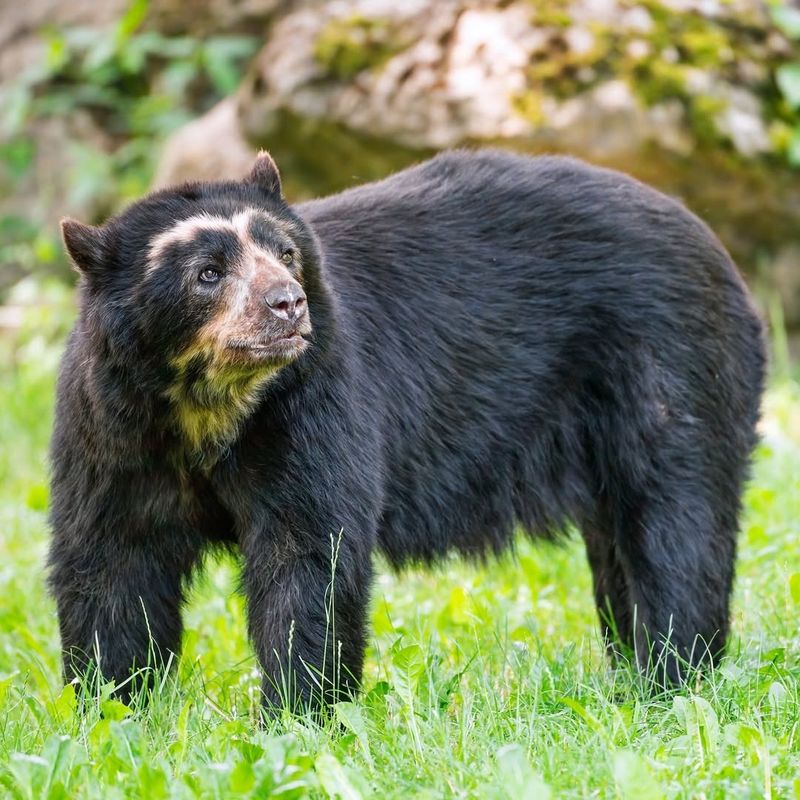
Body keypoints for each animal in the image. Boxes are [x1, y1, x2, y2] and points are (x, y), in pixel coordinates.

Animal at [50, 150, 768, 712]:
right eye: (208, 273)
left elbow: (310, 555)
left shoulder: (317, 399)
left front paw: (297, 712)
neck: (210, 408)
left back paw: (672, 677)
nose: (288, 304)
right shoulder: (111, 431)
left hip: (668, 365)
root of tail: (714, 246)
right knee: (622, 544)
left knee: (677, 526)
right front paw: (113, 708)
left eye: (286, 253)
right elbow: (110, 562)